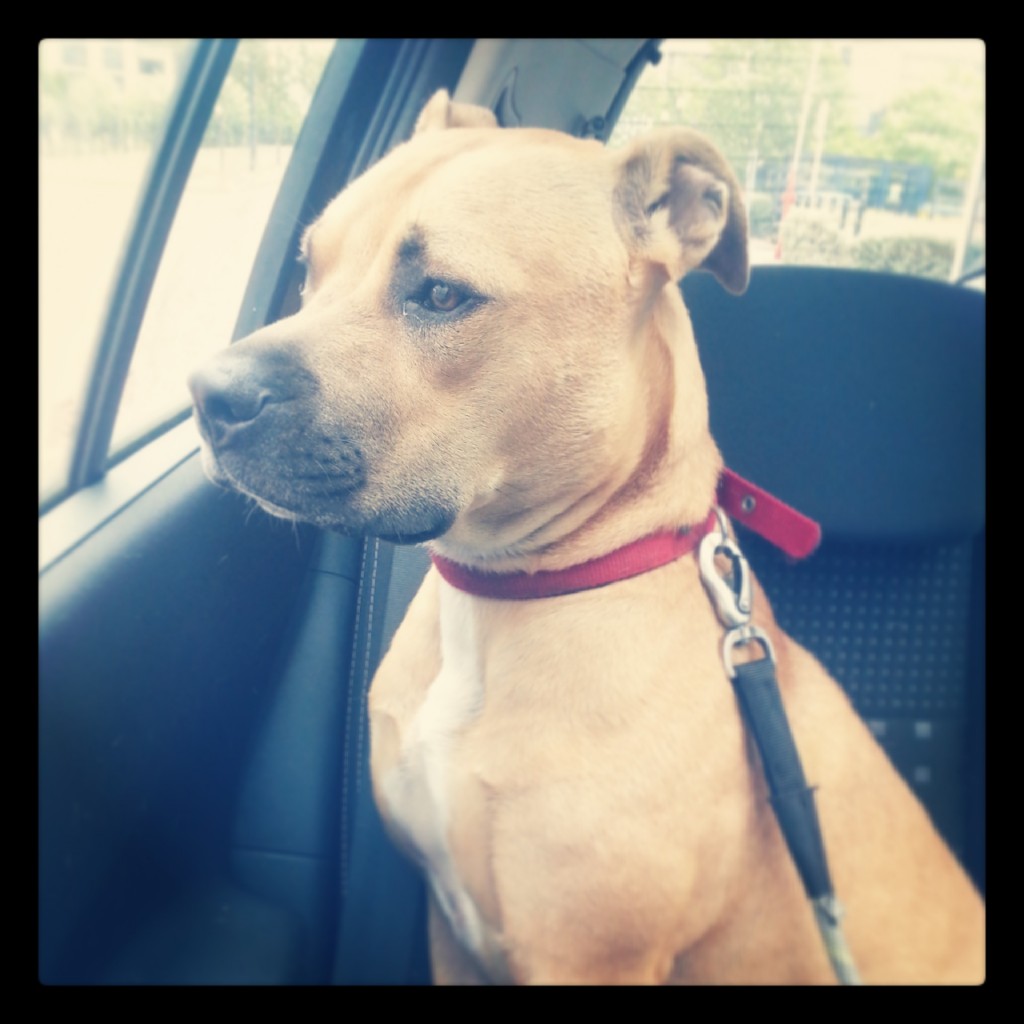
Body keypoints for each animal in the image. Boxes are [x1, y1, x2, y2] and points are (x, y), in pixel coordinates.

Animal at [190, 92, 983, 987]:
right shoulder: (447, 926)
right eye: (308, 268)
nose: (211, 394)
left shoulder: (587, 958)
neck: (506, 594)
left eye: (442, 295)